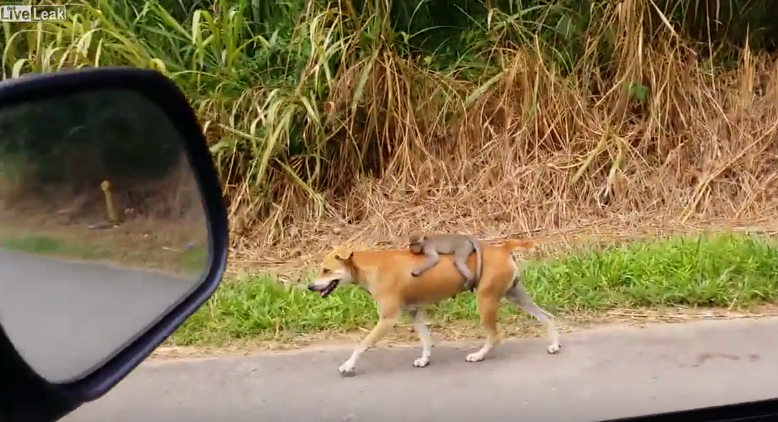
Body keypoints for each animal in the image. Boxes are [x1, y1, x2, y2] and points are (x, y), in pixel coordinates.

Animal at [306, 239, 560, 374]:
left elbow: (362, 344)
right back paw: (555, 345)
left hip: (486, 301)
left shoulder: (387, 319)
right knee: (547, 316)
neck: (367, 267)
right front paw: (425, 359)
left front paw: (348, 365)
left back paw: (478, 355)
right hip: (515, 294)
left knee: (495, 336)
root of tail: (503, 248)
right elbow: (426, 339)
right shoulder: (414, 312)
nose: (309, 286)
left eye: (326, 270)